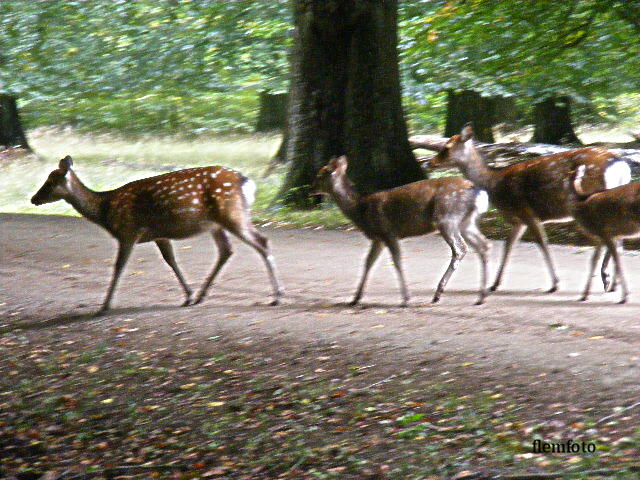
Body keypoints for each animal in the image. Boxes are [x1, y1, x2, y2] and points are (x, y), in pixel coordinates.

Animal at [31, 158, 282, 314]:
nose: (33, 199)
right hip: (216, 223)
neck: (106, 210)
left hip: (231, 214)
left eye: (50, 182)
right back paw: (201, 296)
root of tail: (246, 182)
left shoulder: (128, 231)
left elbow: (119, 266)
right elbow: (171, 260)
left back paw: (277, 296)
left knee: (262, 242)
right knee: (226, 250)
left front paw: (105, 305)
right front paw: (188, 295)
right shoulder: (159, 235)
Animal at [312, 156, 488, 306]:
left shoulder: (388, 232)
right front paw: (355, 298)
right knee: (484, 245)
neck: (361, 211)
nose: (310, 189)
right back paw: (481, 296)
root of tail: (477, 191)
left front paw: (406, 298)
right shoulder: (378, 238)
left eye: (321, 174)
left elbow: (396, 261)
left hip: (446, 218)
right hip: (465, 222)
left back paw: (439, 294)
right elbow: (368, 263)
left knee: (460, 249)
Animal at [430, 124, 632, 294]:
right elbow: (508, 246)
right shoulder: (518, 220)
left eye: (446, 147)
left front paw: (555, 284)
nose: (429, 163)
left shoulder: (527, 212)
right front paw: (495, 284)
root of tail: (620, 165)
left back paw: (606, 278)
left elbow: (542, 244)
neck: (495, 184)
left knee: (607, 237)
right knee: (617, 237)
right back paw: (614, 282)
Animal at [568, 166, 640, 304]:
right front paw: (585, 295)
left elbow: (617, 260)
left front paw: (624, 296)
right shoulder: (605, 235)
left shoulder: (605, 232)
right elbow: (594, 260)